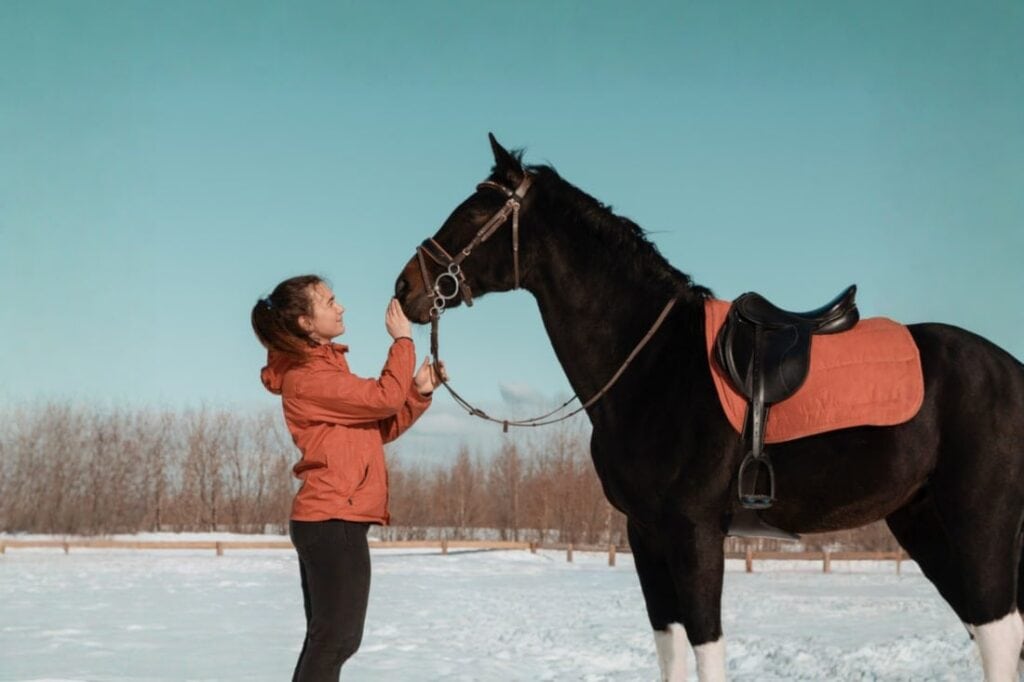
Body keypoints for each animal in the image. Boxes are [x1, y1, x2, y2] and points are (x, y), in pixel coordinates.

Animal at [394, 135, 1024, 681]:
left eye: (474, 212)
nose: (407, 288)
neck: (652, 363)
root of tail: (1011, 370)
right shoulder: (645, 534)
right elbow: (670, 651)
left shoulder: (694, 532)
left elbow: (707, 649)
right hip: (923, 523)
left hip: (979, 522)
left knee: (998, 634)